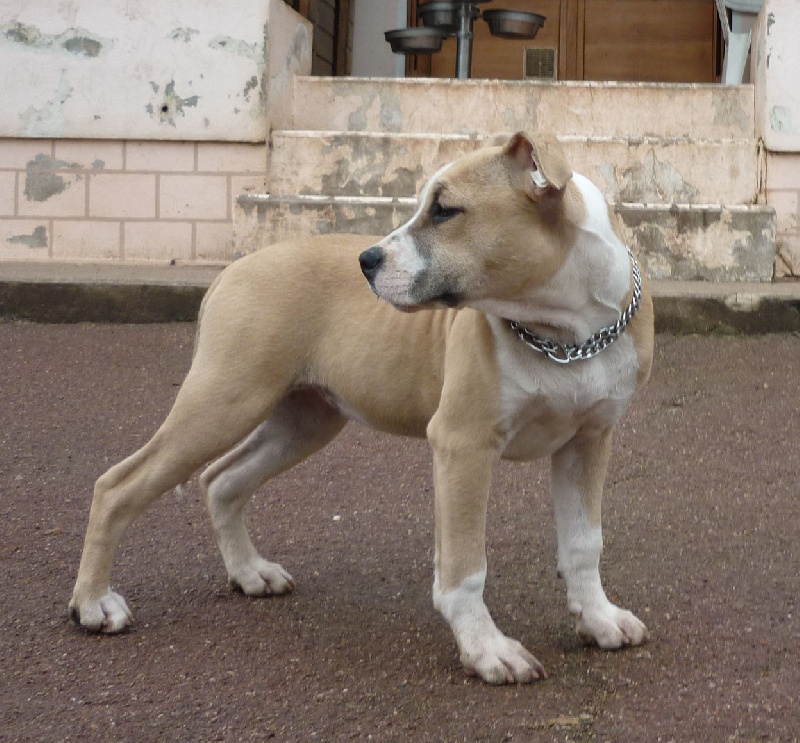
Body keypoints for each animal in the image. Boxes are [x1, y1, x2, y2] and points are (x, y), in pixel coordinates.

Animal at [72, 132, 652, 684]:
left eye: (445, 210)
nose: (366, 261)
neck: (563, 332)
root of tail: (233, 270)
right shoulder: (463, 445)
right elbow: (465, 567)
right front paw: (487, 650)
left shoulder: (588, 441)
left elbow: (584, 543)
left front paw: (599, 619)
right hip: (222, 401)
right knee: (118, 485)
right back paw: (94, 603)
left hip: (303, 420)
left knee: (222, 479)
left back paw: (250, 573)